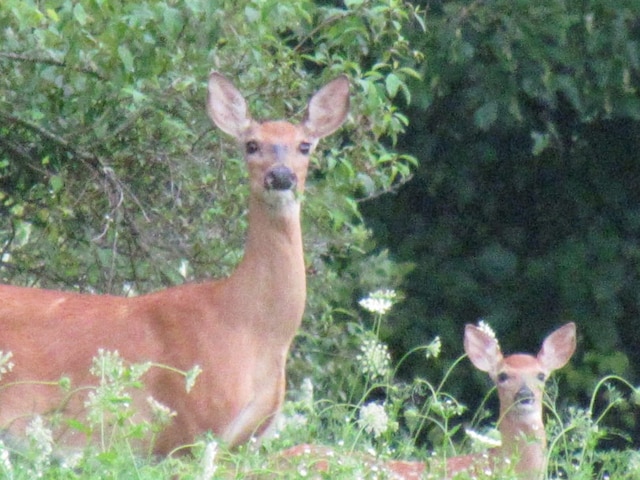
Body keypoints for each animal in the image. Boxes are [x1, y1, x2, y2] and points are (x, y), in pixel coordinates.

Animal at [0, 71, 350, 454]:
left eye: (305, 145)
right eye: (251, 145)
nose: (281, 176)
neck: (250, 326)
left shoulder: (244, 441)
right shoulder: (190, 426)